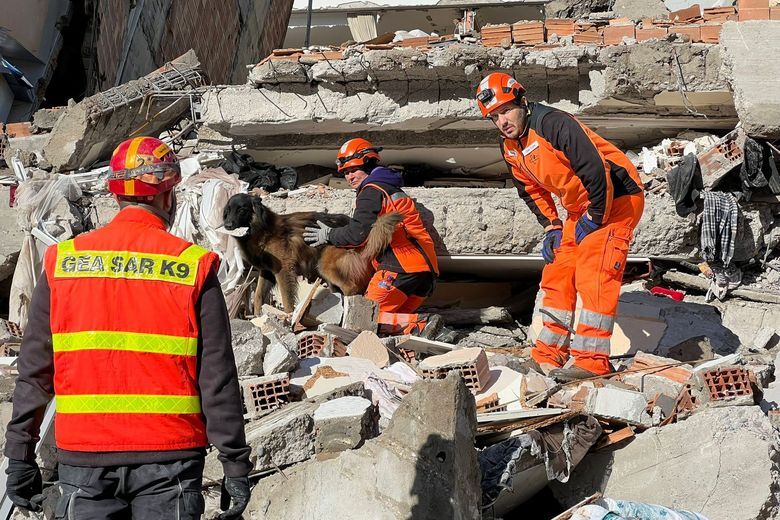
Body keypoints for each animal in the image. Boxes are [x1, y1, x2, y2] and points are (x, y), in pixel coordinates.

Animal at [221, 191, 400, 312]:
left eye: (241, 210)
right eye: (227, 210)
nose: (227, 225)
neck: (262, 229)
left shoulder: (283, 270)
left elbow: (287, 298)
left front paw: (288, 317)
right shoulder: (267, 272)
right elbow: (258, 297)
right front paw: (258, 316)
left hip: (327, 266)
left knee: (351, 286)